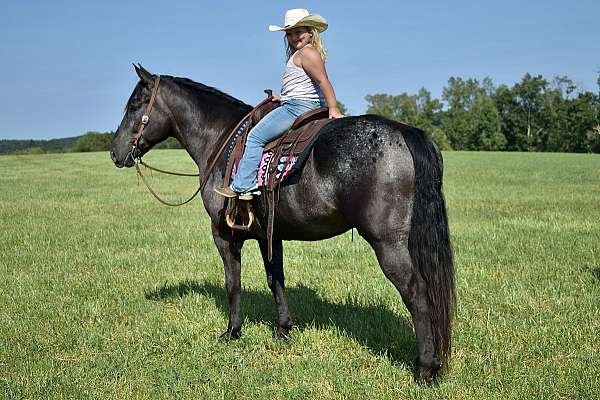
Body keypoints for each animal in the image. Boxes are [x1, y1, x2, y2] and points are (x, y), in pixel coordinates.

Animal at [110, 65, 454, 384]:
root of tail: (405, 132)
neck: (220, 140)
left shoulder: (224, 235)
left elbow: (233, 284)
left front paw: (232, 332)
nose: (115, 152)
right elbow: (275, 279)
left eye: (136, 104)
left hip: (388, 244)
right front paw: (284, 329)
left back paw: (426, 367)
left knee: (417, 294)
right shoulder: (268, 236)